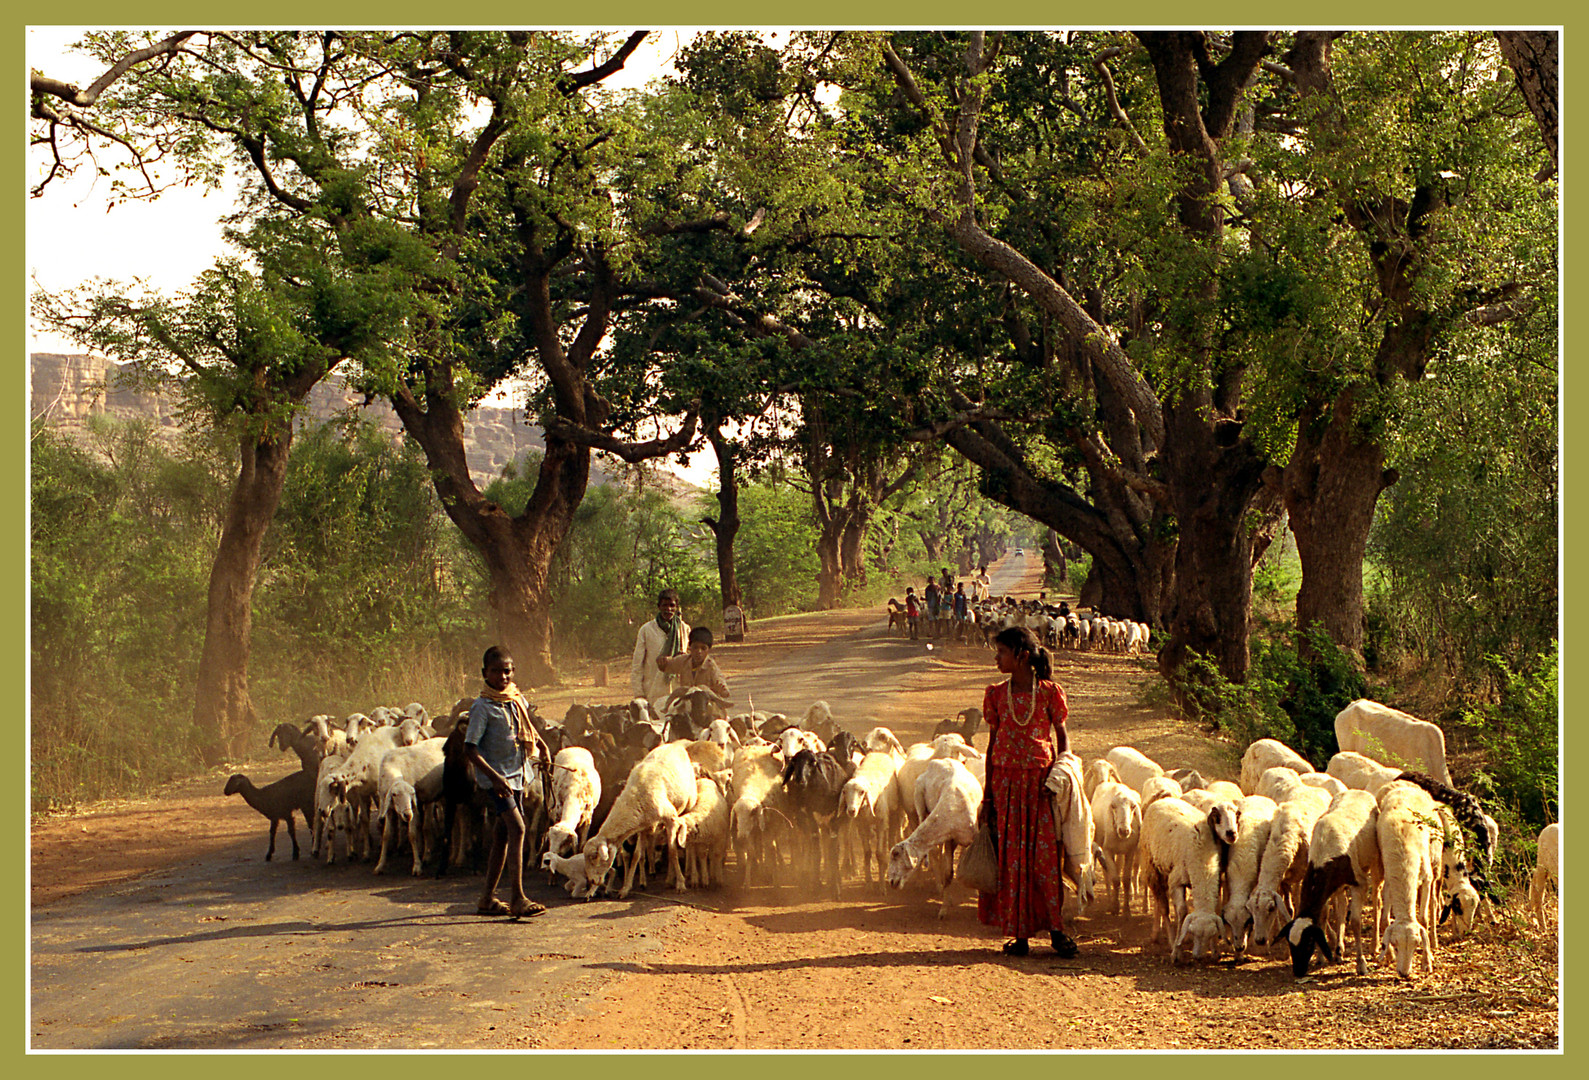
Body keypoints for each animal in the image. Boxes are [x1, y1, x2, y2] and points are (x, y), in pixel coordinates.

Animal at [883, 749, 978, 921]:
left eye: (895, 855)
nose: (891, 882)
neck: (952, 807)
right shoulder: (949, 839)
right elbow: (948, 874)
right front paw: (944, 908)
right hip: (918, 806)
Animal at [1093, 781, 1144, 914]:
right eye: (1113, 806)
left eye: (1133, 806)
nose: (1124, 830)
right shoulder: (1107, 850)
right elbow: (1115, 879)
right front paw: (1115, 907)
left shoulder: (1130, 852)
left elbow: (1126, 880)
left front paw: (1126, 909)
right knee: (1106, 873)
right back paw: (1109, 898)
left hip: (1120, 852)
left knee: (1118, 867)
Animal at [1277, 784, 1379, 978]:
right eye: (1290, 944)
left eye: (1308, 943)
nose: (1298, 971)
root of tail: (1357, 790)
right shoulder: (1327, 886)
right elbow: (1324, 917)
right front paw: (1321, 958)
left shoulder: (1359, 883)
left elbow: (1355, 922)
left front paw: (1361, 964)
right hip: (1337, 886)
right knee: (1341, 907)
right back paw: (1339, 950)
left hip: (1373, 864)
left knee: (1378, 898)